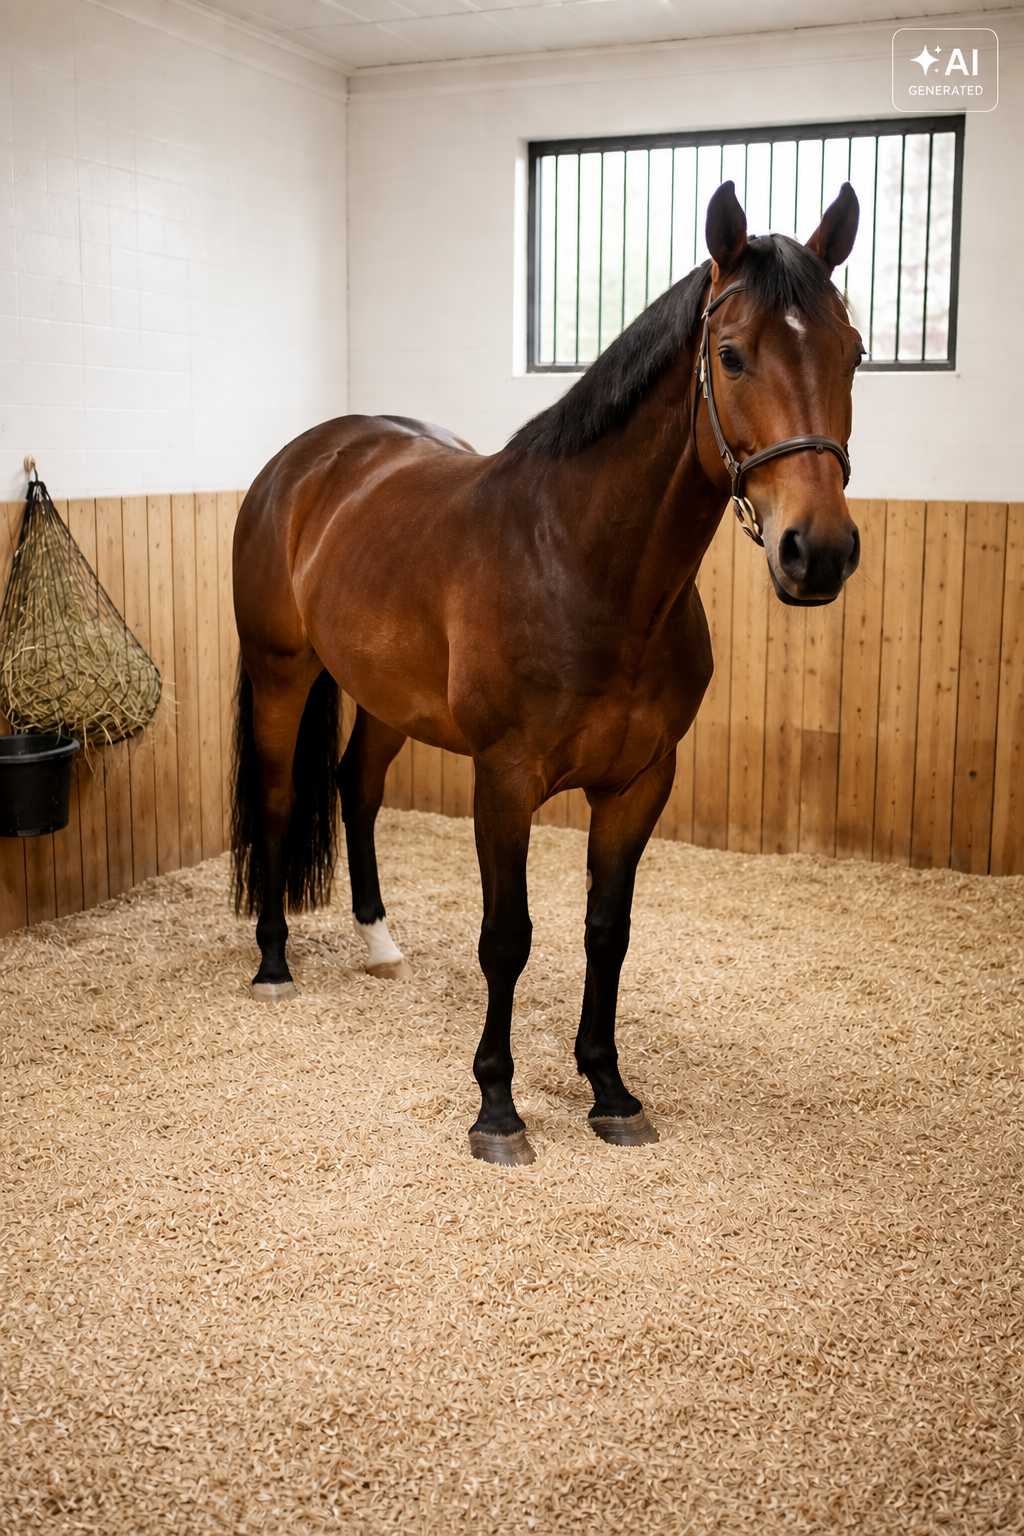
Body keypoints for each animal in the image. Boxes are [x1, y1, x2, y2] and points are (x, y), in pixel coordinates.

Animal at [230, 179, 863, 1166]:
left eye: (854, 354)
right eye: (731, 355)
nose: (819, 552)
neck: (584, 565)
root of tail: (303, 462)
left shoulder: (640, 783)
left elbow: (607, 932)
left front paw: (608, 1088)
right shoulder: (505, 780)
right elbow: (509, 938)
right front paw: (498, 1107)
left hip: (386, 700)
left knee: (355, 787)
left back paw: (379, 941)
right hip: (280, 672)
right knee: (275, 797)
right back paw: (272, 961)